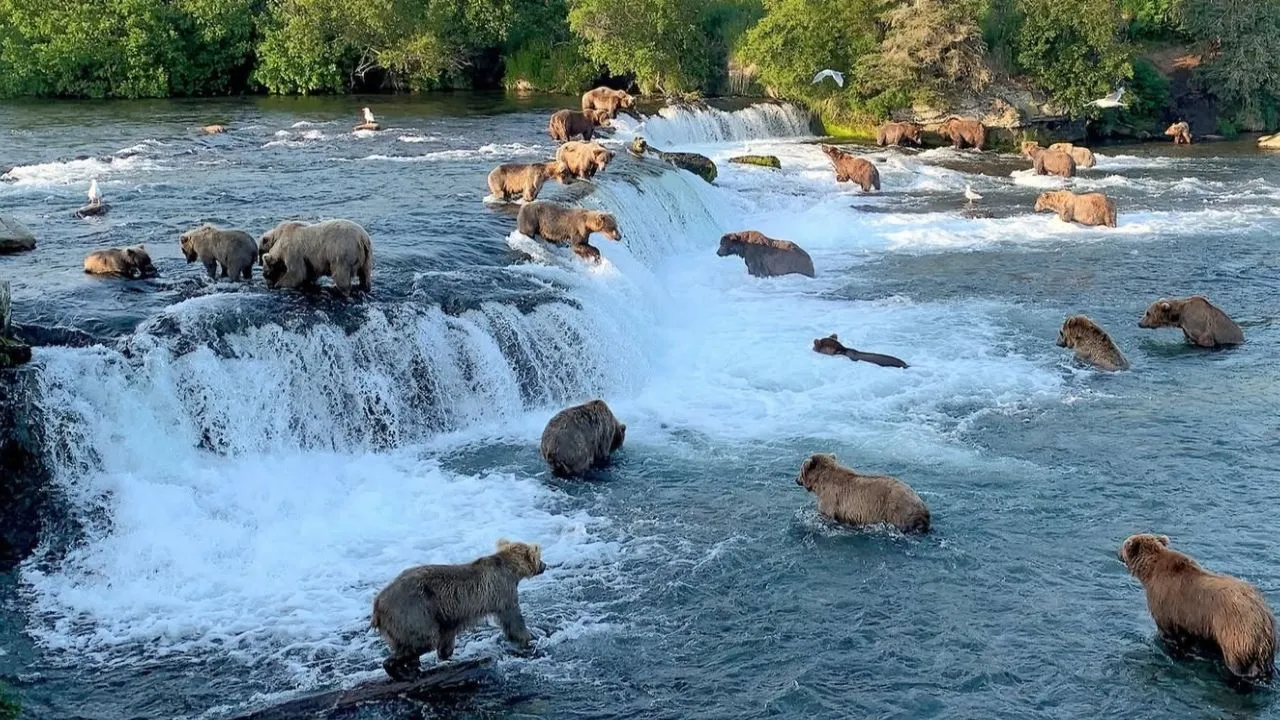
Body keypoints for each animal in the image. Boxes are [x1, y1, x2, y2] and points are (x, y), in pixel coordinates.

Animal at [372, 539, 547, 681]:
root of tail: (377, 604)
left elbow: (447, 635)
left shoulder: (447, 615)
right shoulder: (502, 592)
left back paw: (413, 668)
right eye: (539, 556)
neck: (511, 571)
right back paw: (402, 672)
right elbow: (513, 619)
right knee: (423, 641)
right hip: (413, 610)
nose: (545, 565)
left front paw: (447, 655)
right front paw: (528, 637)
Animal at [796, 453, 930, 533]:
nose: (796, 480)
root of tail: (922, 505)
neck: (821, 482)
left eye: (800, 470)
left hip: (898, 511)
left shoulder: (830, 498)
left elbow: (826, 514)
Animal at [1119, 533, 1276, 681]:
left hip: (1236, 631)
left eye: (1124, 544)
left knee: (1238, 663)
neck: (1150, 572)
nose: (1117, 553)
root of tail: (1263, 618)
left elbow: (1169, 633)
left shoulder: (1164, 604)